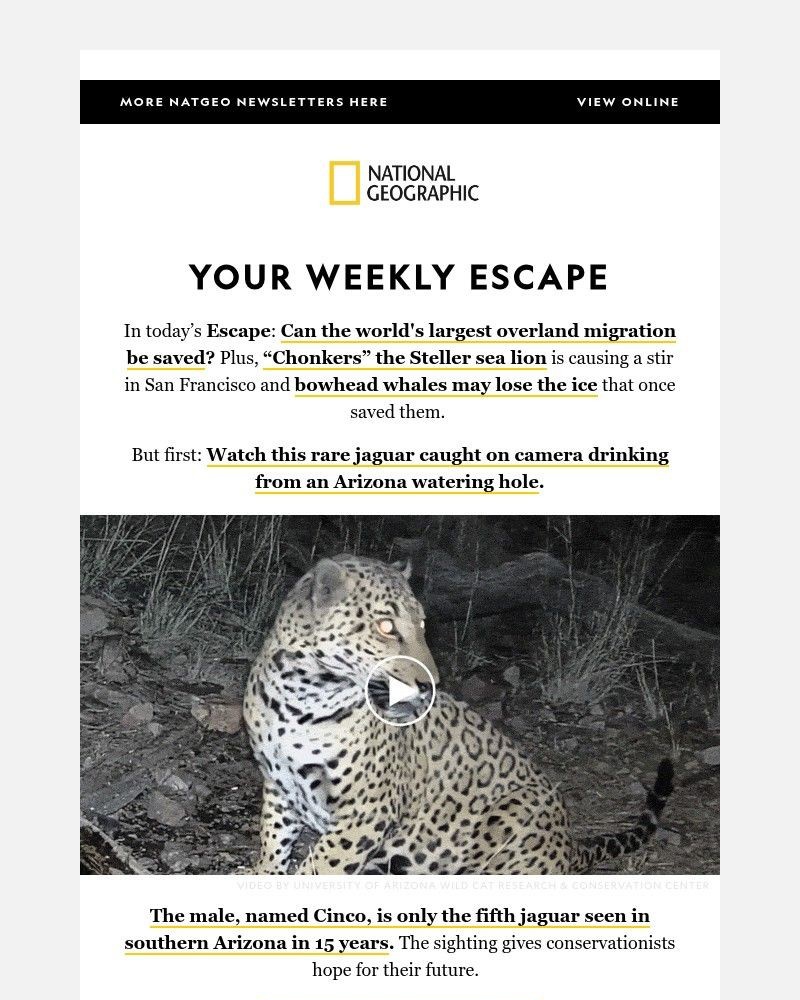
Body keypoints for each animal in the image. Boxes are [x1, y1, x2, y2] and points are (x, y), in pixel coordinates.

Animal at [243, 553, 674, 875]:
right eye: (386, 627)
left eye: (422, 624)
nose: (430, 684)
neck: (299, 697)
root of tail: (569, 847)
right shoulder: (279, 785)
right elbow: (273, 842)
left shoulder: (366, 812)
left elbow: (319, 866)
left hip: (516, 812)